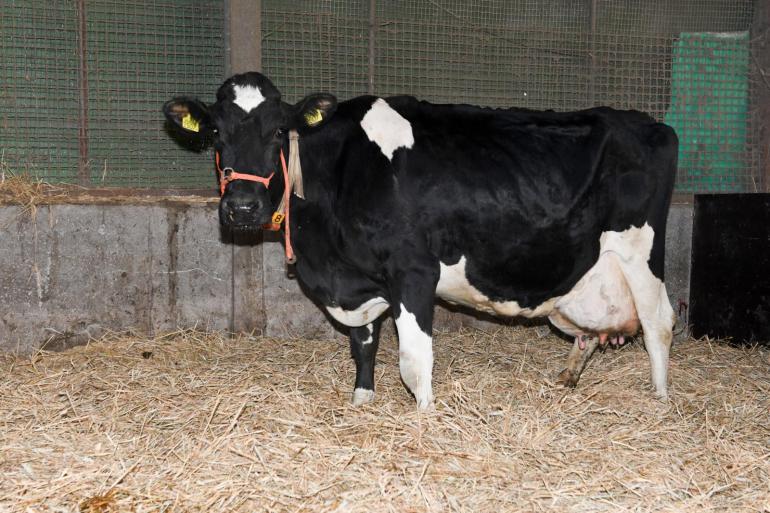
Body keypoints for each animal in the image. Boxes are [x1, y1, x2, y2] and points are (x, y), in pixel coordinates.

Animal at [165, 71, 676, 408]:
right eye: (216, 133)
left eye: (277, 131)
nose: (242, 207)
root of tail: (648, 122)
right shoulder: (361, 280)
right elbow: (363, 343)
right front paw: (362, 401)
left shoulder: (413, 271)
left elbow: (414, 360)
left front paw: (424, 418)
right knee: (593, 332)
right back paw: (569, 376)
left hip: (641, 254)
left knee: (659, 325)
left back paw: (660, 400)